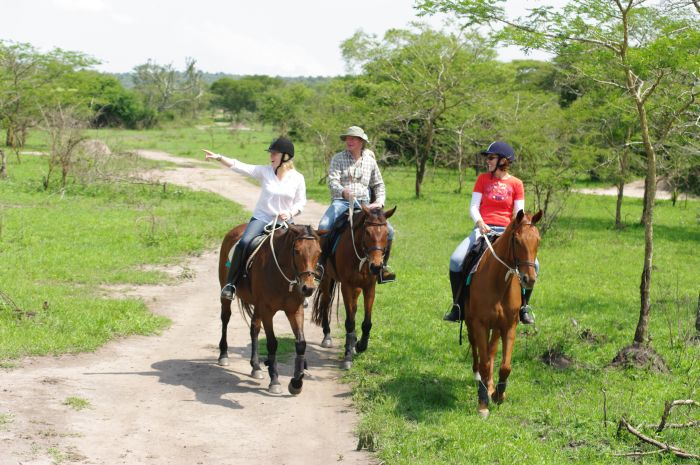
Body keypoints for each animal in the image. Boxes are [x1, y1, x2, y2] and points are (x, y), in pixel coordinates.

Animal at [216, 223, 322, 394]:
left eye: (319, 252)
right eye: (297, 251)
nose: (308, 288)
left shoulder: (295, 310)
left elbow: (301, 344)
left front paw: (296, 383)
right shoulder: (267, 311)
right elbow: (272, 343)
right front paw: (275, 381)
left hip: (257, 306)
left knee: (254, 328)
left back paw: (256, 367)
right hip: (227, 295)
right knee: (225, 319)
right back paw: (223, 355)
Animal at [310, 205, 394, 368]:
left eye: (387, 234)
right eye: (367, 232)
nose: (376, 267)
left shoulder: (369, 287)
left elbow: (366, 322)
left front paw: (360, 345)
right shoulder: (347, 286)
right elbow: (349, 322)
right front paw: (348, 356)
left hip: (357, 288)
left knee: (353, 309)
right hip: (326, 280)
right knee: (325, 304)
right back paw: (327, 336)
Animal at [462, 210, 544, 416]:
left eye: (538, 240)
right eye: (516, 240)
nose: (529, 279)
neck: (498, 282)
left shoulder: (509, 325)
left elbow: (505, 366)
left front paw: (498, 395)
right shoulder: (480, 324)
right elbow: (483, 363)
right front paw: (483, 402)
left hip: (497, 327)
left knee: (491, 351)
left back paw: (491, 385)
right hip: (470, 323)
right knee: (476, 350)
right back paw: (478, 377)